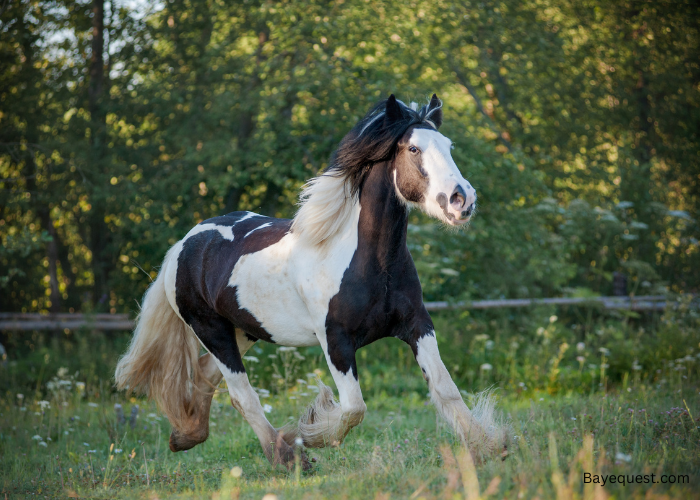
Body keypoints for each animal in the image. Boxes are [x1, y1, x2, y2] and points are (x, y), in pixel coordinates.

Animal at [116, 94, 508, 468]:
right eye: (413, 149)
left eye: (449, 146)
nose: (462, 200)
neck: (369, 263)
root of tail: (183, 246)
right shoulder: (335, 340)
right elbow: (354, 408)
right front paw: (312, 433)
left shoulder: (417, 325)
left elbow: (445, 389)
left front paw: (490, 447)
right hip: (211, 329)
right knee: (242, 395)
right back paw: (290, 458)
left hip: (245, 330)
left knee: (205, 375)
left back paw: (186, 437)